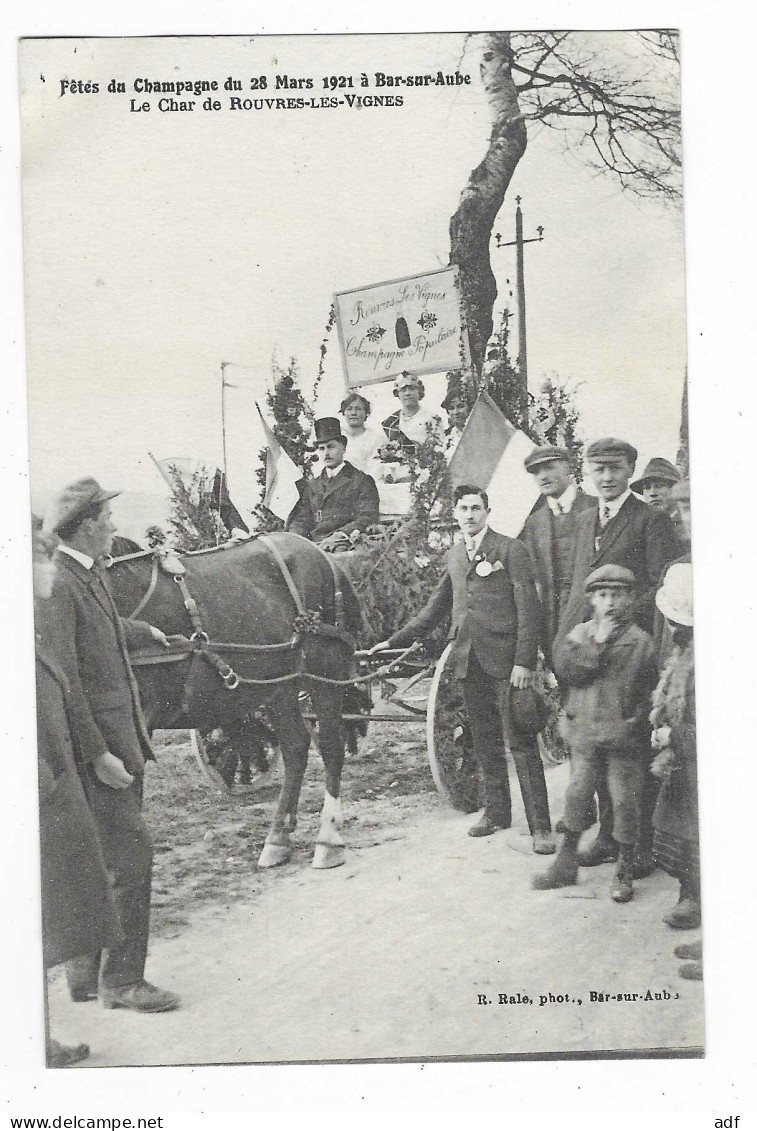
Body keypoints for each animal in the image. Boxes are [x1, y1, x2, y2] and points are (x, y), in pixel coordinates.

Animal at [106, 533, 366, 868]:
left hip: (326, 669)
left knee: (332, 746)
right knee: (296, 747)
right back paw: (278, 837)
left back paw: (329, 837)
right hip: (278, 684)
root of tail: (321, 553)